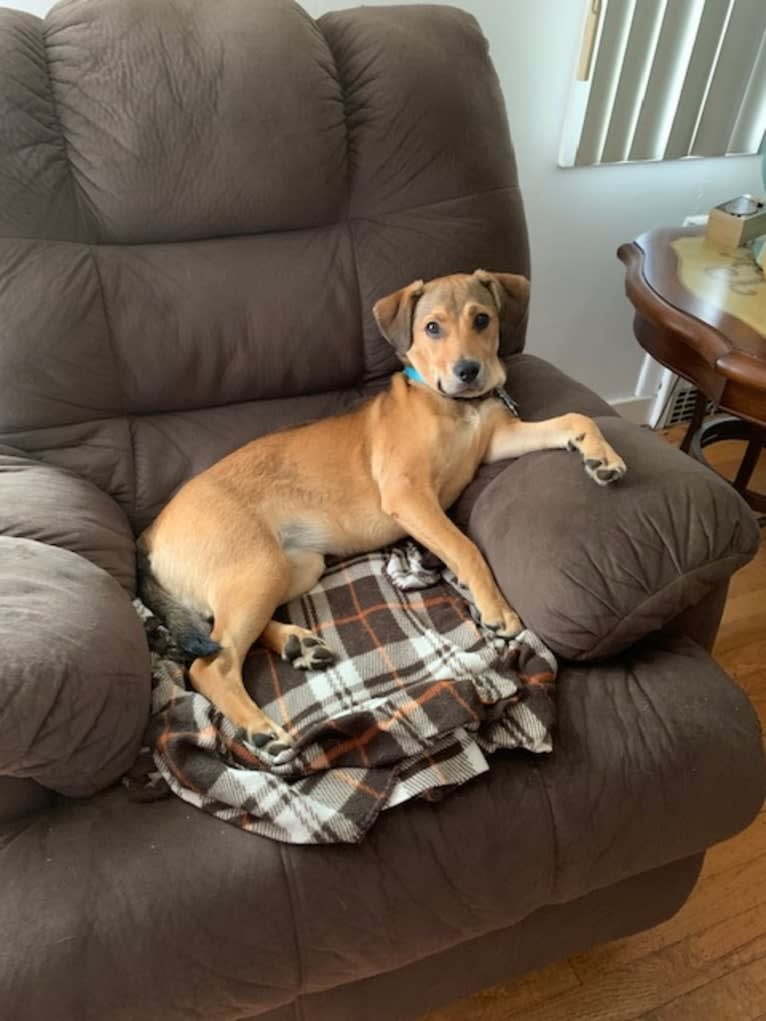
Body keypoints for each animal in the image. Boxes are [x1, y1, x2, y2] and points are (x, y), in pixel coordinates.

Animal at [137, 271, 625, 751]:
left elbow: (575, 418)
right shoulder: (408, 494)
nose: (468, 371)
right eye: (432, 327)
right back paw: (261, 728)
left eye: (483, 319)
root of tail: (149, 534)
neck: (452, 404)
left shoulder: (497, 443)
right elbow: (464, 547)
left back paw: (296, 645)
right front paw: (496, 608)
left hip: (293, 568)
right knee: (209, 663)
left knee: (218, 634)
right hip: (258, 567)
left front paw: (602, 457)